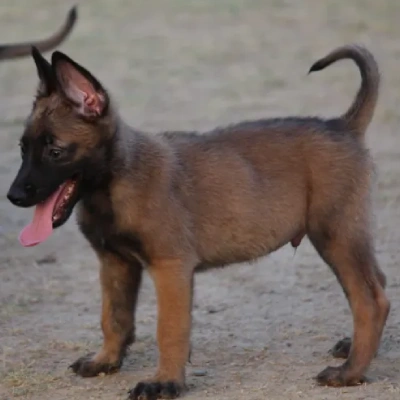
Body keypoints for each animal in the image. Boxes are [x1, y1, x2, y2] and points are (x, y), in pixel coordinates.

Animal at [6, 44, 390, 400]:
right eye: (23, 148)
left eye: (55, 151)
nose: (13, 196)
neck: (117, 179)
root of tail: (342, 125)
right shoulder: (115, 263)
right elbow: (114, 318)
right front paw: (106, 361)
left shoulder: (170, 267)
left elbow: (169, 330)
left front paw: (165, 382)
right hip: (347, 236)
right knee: (378, 285)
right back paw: (355, 347)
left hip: (336, 236)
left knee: (370, 300)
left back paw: (350, 372)